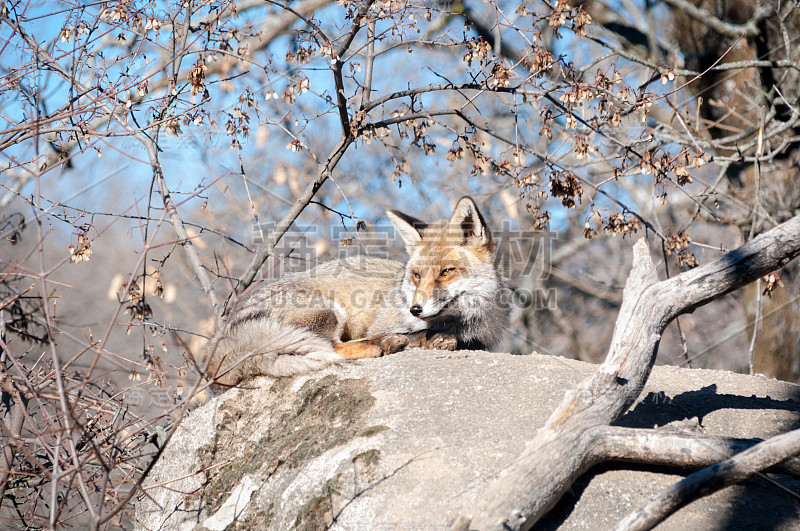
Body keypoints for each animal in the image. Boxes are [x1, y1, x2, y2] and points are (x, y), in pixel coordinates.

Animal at [203, 197, 510, 388]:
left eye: (446, 272)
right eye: (417, 275)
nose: (415, 309)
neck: (456, 324)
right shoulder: (385, 322)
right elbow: (418, 333)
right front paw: (424, 338)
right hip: (328, 312)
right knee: (333, 346)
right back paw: (385, 344)